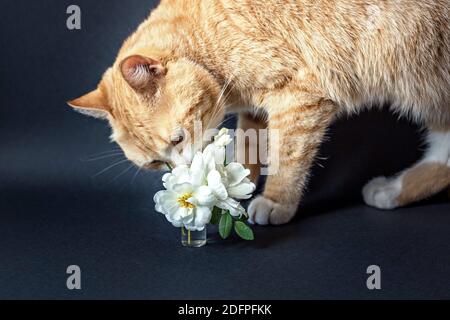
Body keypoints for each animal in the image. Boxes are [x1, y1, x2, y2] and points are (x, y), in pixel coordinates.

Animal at [68, 0, 448, 225]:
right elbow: (248, 146)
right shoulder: (256, 108)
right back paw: (391, 191)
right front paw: (236, 184)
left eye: (178, 139)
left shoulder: (300, 97)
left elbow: (287, 157)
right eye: (156, 163)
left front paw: (275, 200)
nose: (187, 170)